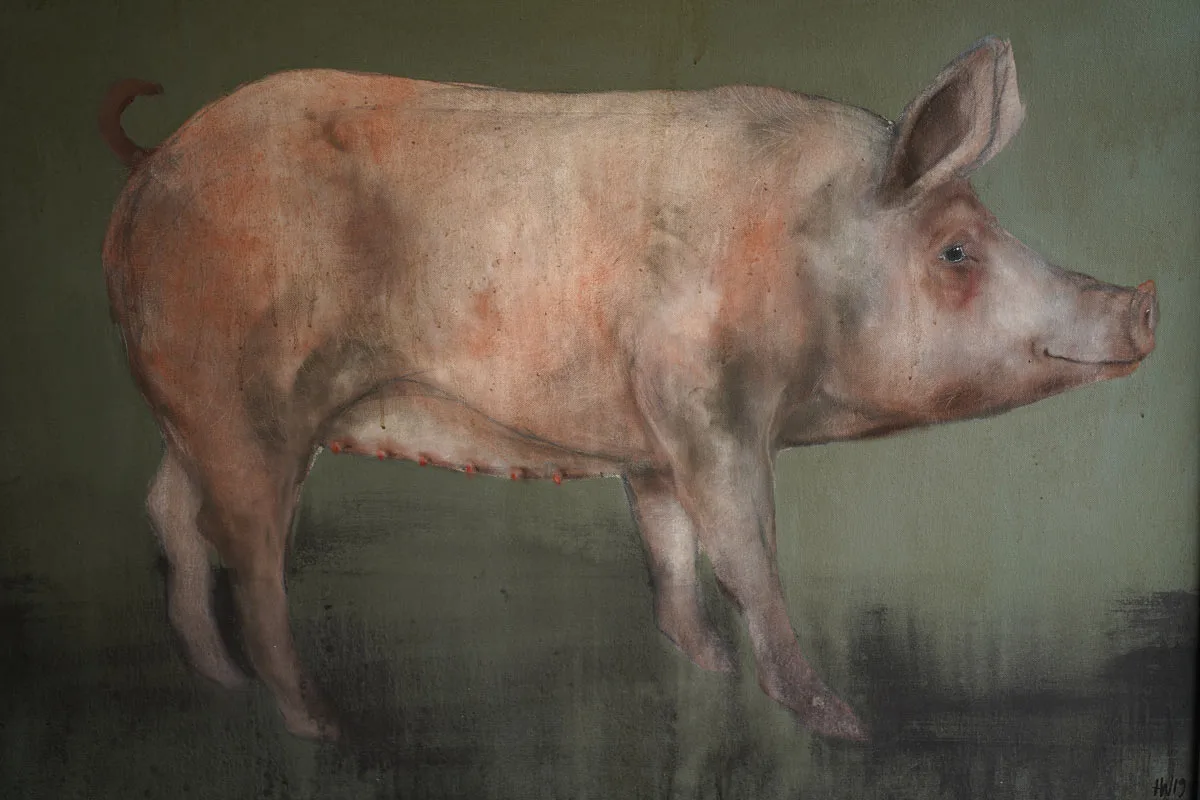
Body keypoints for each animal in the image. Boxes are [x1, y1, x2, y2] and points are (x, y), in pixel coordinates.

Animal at [98, 36, 1157, 743]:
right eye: (956, 251)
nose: (1143, 301)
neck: (805, 251)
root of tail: (154, 163)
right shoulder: (703, 397)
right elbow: (748, 550)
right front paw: (840, 724)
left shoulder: (650, 437)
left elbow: (670, 543)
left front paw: (707, 667)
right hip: (241, 397)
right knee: (250, 552)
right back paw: (322, 724)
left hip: (189, 411)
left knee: (166, 511)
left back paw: (217, 683)